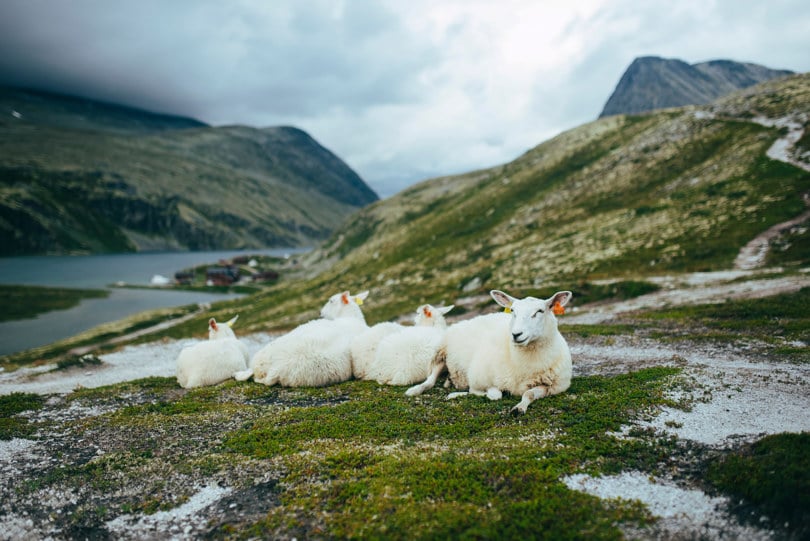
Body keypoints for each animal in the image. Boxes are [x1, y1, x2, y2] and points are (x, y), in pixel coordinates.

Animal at [408, 288, 572, 416]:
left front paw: (519, 408)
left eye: (540, 311)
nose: (516, 334)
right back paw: (415, 390)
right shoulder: (479, 377)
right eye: (513, 311)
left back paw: (449, 381)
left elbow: (529, 394)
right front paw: (465, 393)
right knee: (430, 379)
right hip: (441, 352)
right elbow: (493, 394)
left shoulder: (553, 387)